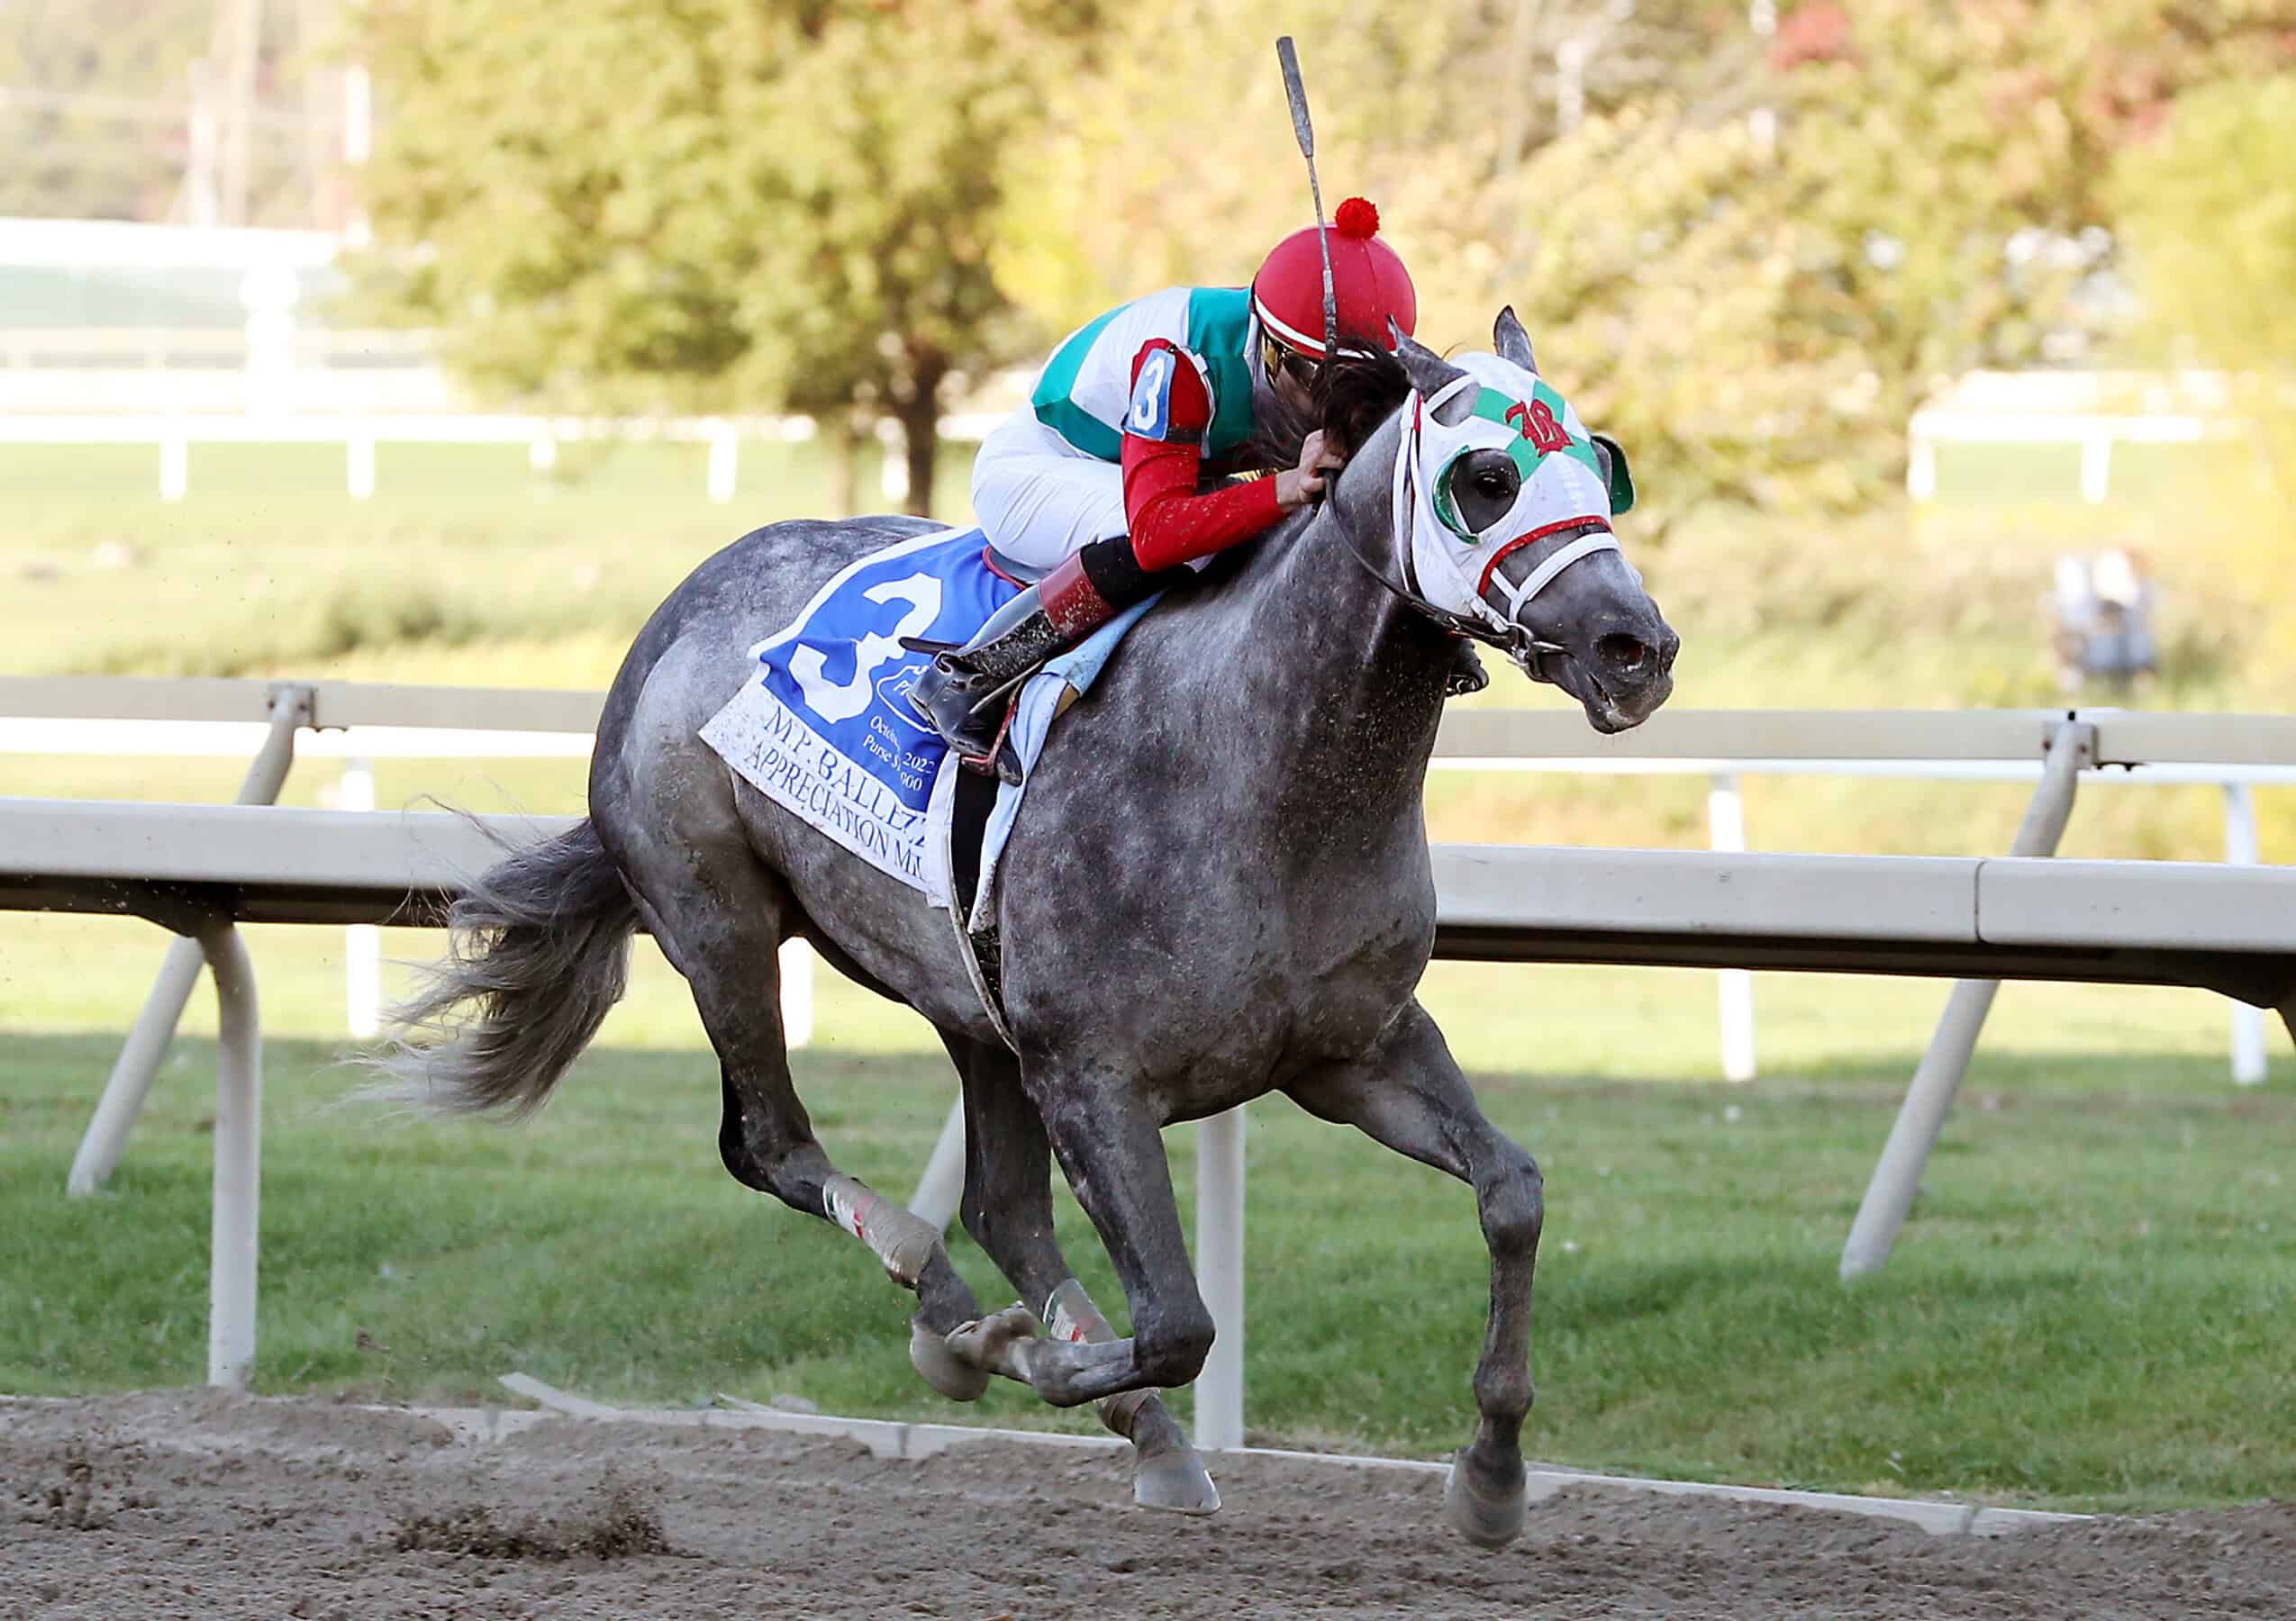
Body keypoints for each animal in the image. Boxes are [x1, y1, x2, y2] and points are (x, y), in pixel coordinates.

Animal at [378, 310, 1678, 1546]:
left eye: (1601, 462)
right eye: (1487, 475)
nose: (1637, 649)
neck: (1260, 763)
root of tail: (684, 599)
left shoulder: (1349, 1050)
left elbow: (1511, 1191)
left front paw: (1492, 1475)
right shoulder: (1093, 1078)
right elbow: (1179, 1323)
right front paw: (1015, 1354)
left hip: (974, 1010)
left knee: (1000, 1208)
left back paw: (1136, 1429)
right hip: (716, 921)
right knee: (777, 1149)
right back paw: (944, 1306)